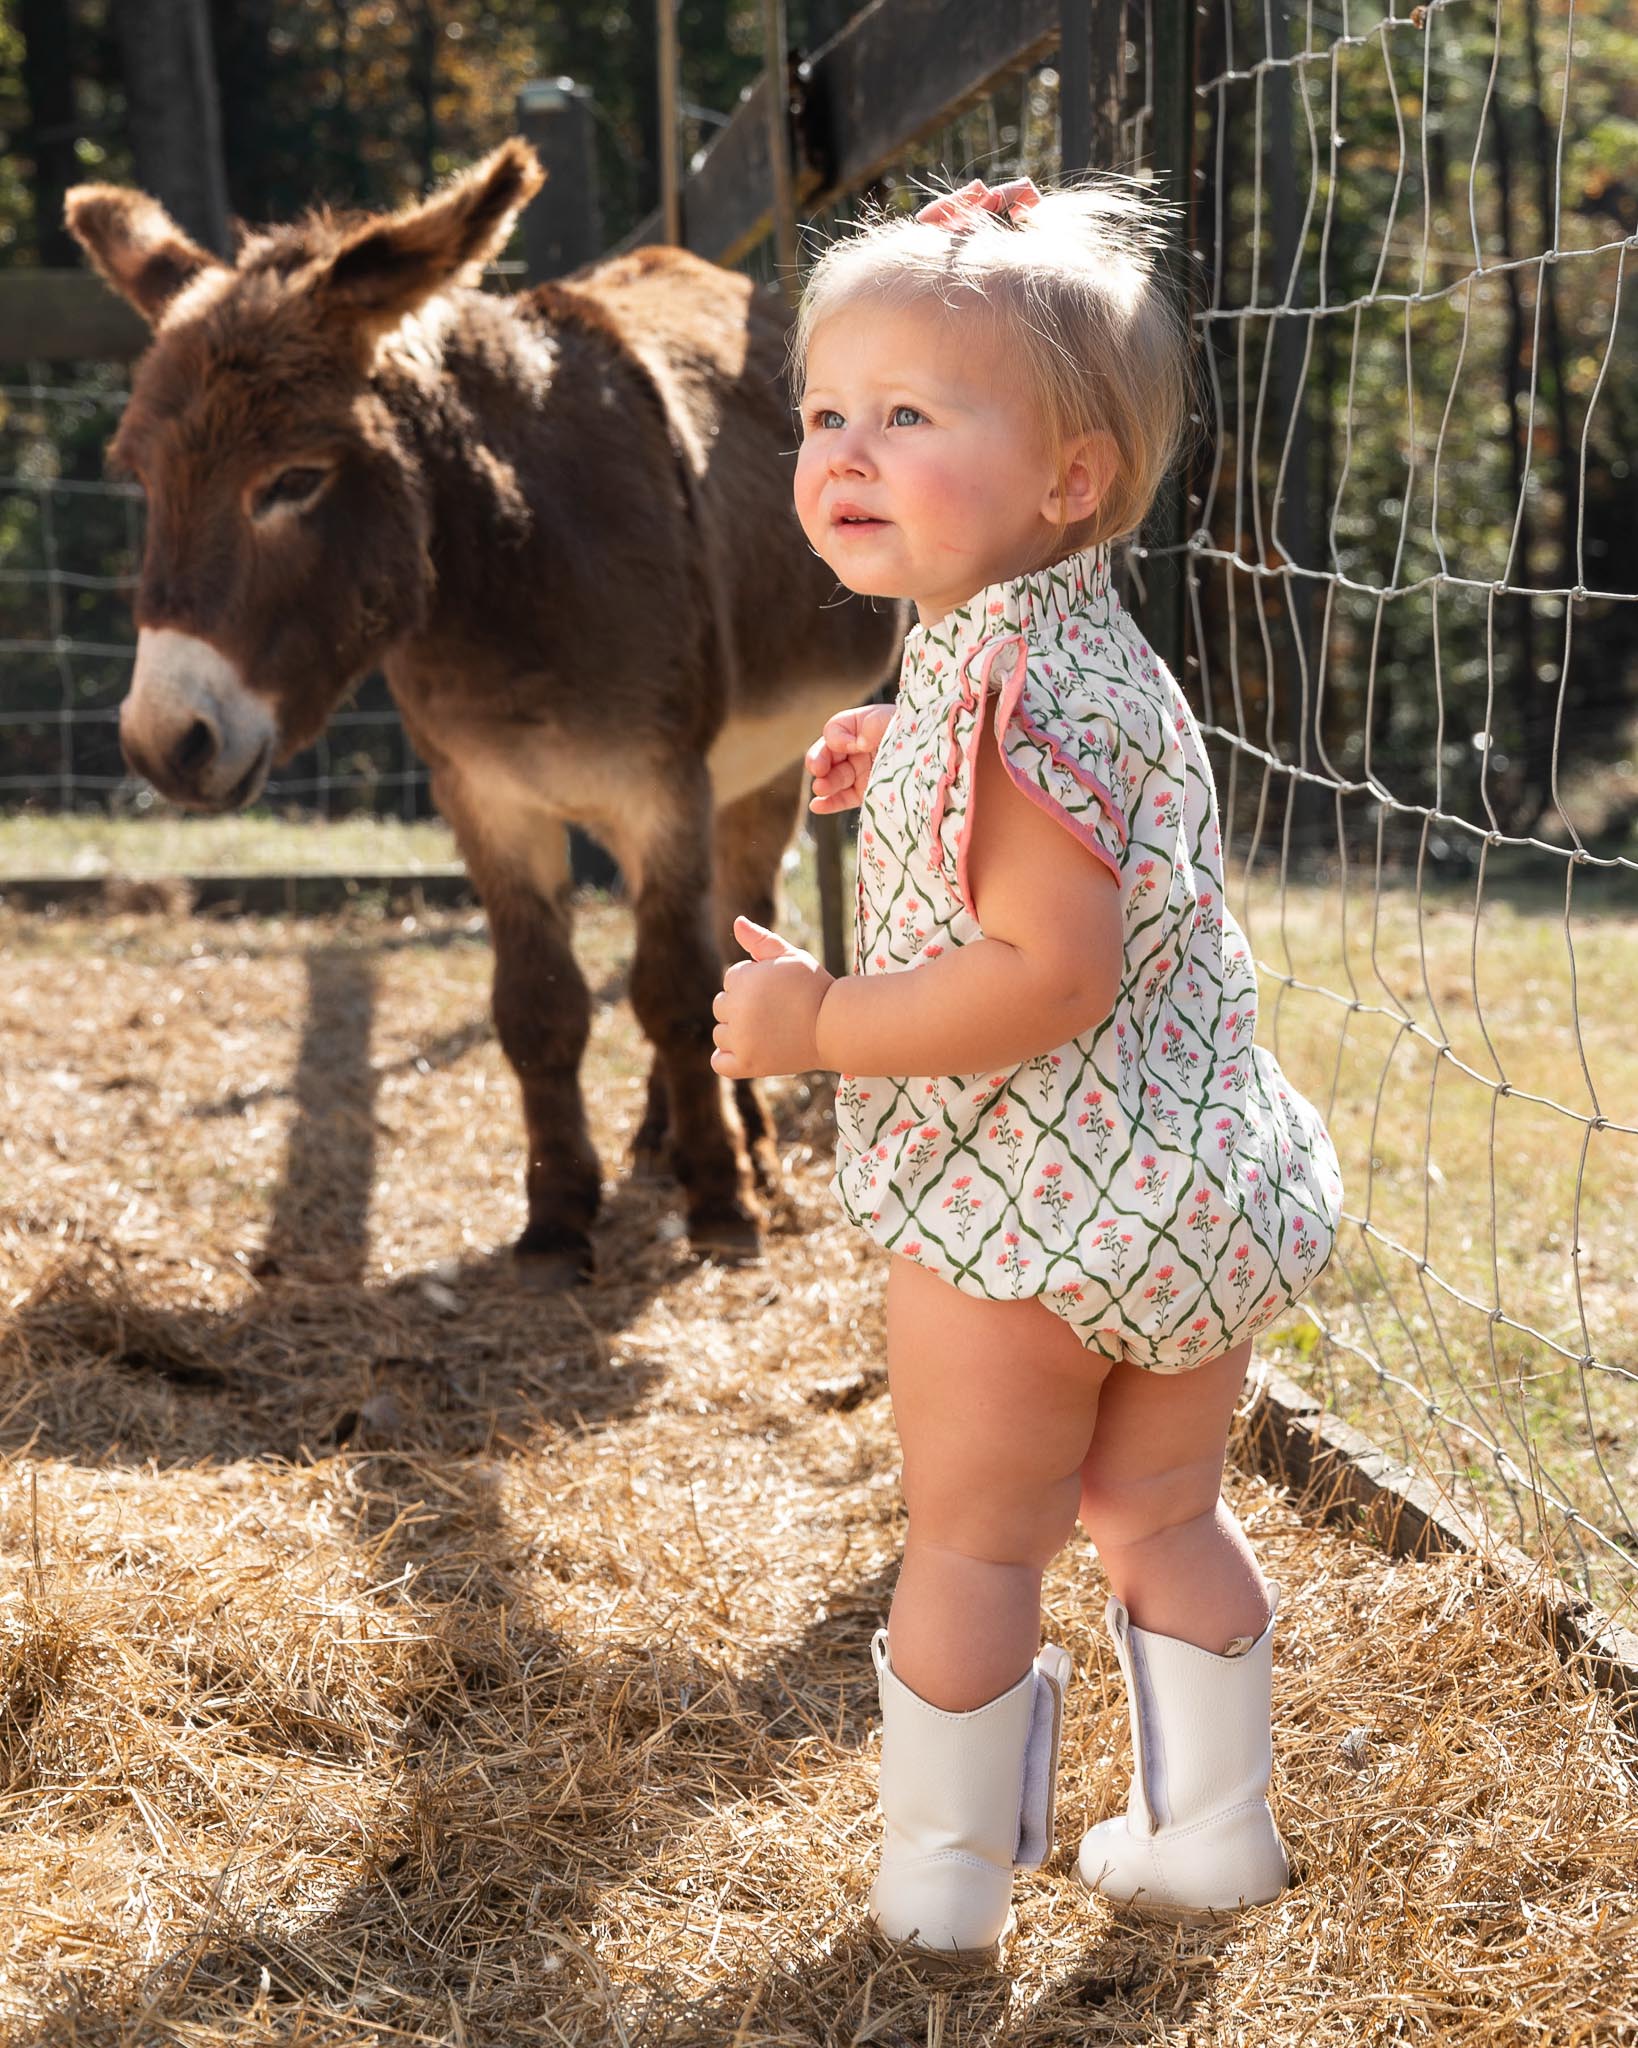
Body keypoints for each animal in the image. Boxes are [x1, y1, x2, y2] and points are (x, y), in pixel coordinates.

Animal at [64, 139, 901, 1284]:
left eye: (294, 480)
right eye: (141, 479)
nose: (164, 744)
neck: (509, 568)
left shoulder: (661, 786)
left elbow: (674, 992)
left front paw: (721, 1200)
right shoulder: (487, 799)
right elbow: (538, 1007)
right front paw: (557, 1218)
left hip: (760, 769)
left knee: (732, 936)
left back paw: (743, 1148)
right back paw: (661, 1138)